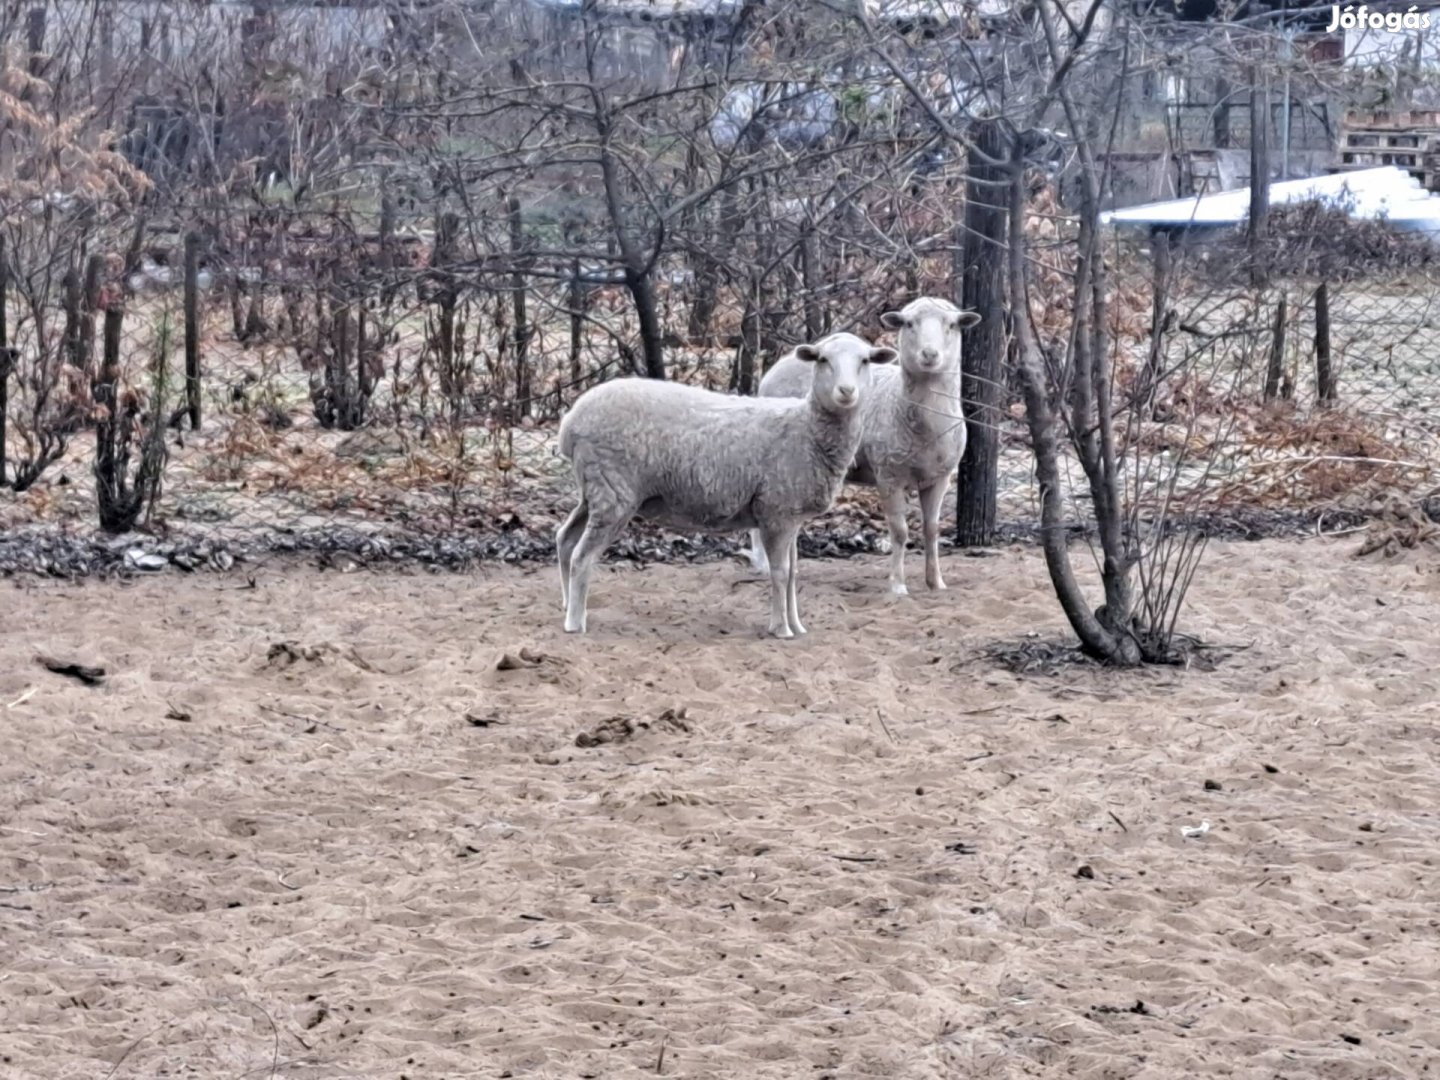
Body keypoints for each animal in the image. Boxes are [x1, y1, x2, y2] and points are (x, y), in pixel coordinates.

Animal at [555, 334, 892, 639]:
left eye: (865, 361)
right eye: (823, 360)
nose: (846, 391)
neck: (807, 430)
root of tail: (570, 423)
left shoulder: (792, 516)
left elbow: (794, 573)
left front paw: (797, 625)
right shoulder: (776, 513)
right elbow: (781, 573)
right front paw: (781, 629)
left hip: (595, 490)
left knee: (565, 539)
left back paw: (566, 602)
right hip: (613, 491)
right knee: (582, 556)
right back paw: (575, 622)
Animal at [748, 296, 984, 596]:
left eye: (952, 325)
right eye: (909, 324)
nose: (930, 355)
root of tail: (783, 361)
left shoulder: (940, 477)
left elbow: (932, 529)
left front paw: (936, 582)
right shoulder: (889, 474)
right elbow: (900, 531)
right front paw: (897, 585)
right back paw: (762, 564)